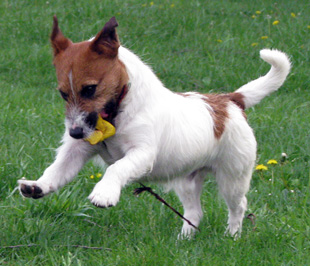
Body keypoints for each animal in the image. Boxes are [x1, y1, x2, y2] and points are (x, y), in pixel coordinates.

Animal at [18, 16, 290, 237]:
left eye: (90, 89)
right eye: (63, 94)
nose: (74, 133)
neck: (117, 114)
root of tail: (230, 100)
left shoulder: (142, 153)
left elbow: (116, 168)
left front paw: (104, 192)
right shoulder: (77, 151)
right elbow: (56, 170)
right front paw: (38, 185)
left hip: (232, 177)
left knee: (238, 206)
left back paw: (232, 236)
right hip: (186, 180)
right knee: (194, 212)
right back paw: (184, 240)